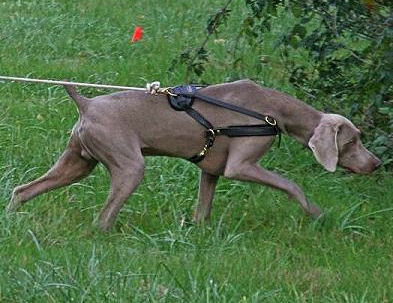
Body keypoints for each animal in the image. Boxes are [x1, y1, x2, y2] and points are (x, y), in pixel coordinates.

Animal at [6, 80, 380, 230]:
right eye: (354, 140)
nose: (376, 164)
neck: (272, 110)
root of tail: (86, 103)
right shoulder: (239, 166)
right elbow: (292, 186)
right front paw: (315, 214)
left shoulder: (211, 170)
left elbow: (203, 207)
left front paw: (198, 232)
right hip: (129, 166)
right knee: (103, 217)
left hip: (78, 162)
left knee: (23, 189)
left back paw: (10, 218)